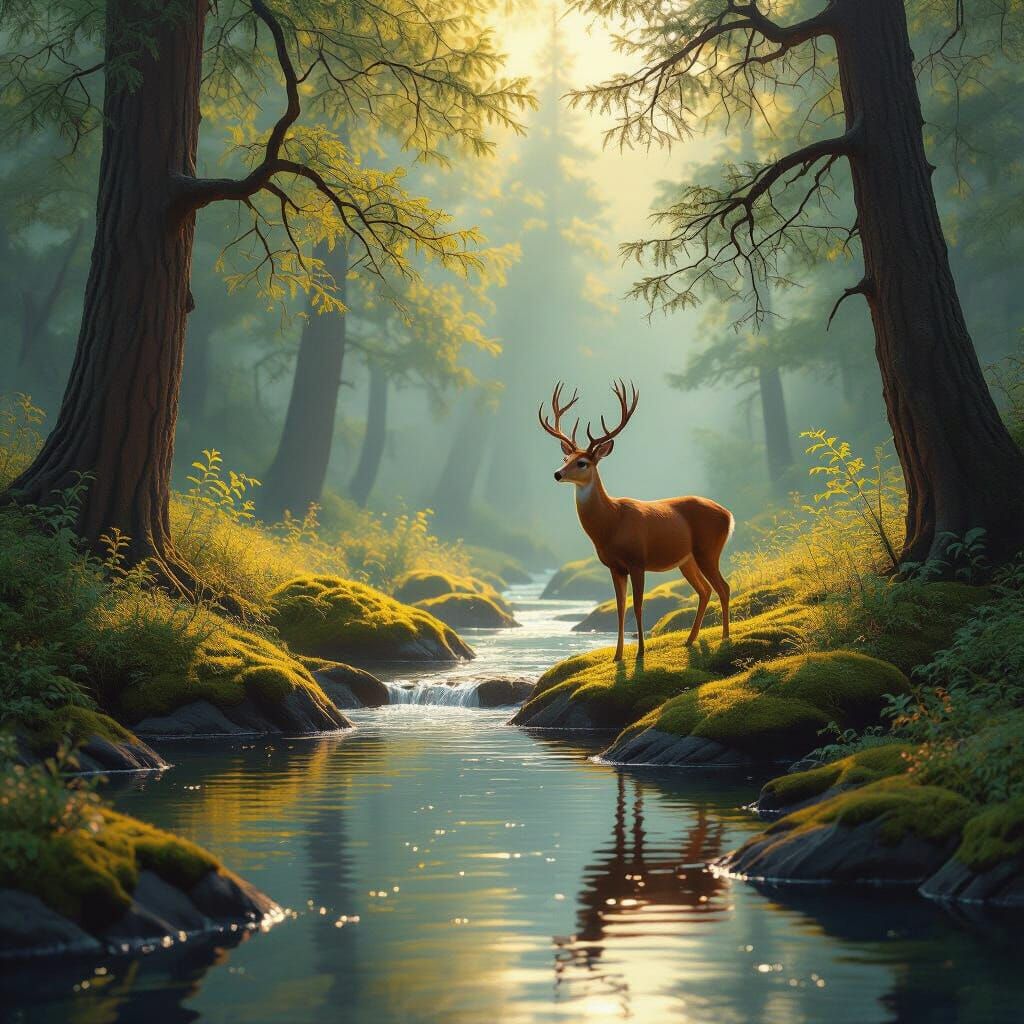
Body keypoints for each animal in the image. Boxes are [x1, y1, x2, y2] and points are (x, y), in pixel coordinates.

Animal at [539, 380, 734, 662]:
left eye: (583, 462)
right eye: (566, 459)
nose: (557, 473)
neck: (611, 523)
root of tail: (729, 515)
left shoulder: (637, 561)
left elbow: (638, 607)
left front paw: (641, 652)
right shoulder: (614, 566)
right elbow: (621, 608)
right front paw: (618, 655)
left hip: (708, 550)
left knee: (724, 587)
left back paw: (725, 637)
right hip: (687, 560)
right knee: (705, 590)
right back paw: (689, 639)